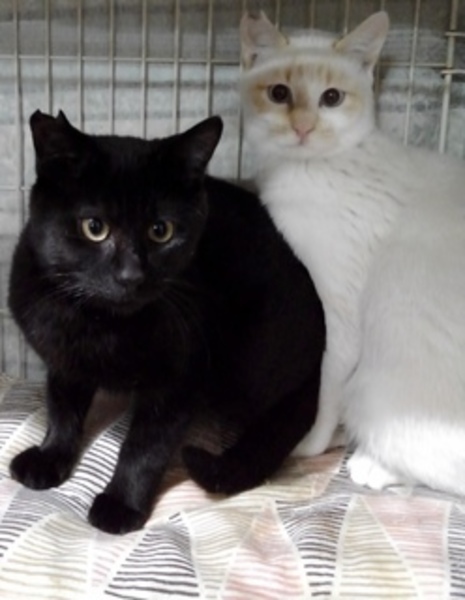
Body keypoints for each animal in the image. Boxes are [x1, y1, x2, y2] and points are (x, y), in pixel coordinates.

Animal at [8, 110, 325, 534]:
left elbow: (145, 445)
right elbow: (61, 408)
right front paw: (49, 455)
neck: (104, 324)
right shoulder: (64, 359)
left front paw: (121, 504)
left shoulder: (179, 380)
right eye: (94, 227)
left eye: (161, 231)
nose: (131, 275)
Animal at [240, 10, 465, 496]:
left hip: (379, 385)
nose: (303, 127)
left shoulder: (341, 307)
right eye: (279, 93)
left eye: (332, 98)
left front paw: (311, 441)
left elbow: (327, 384)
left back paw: (372, 465)